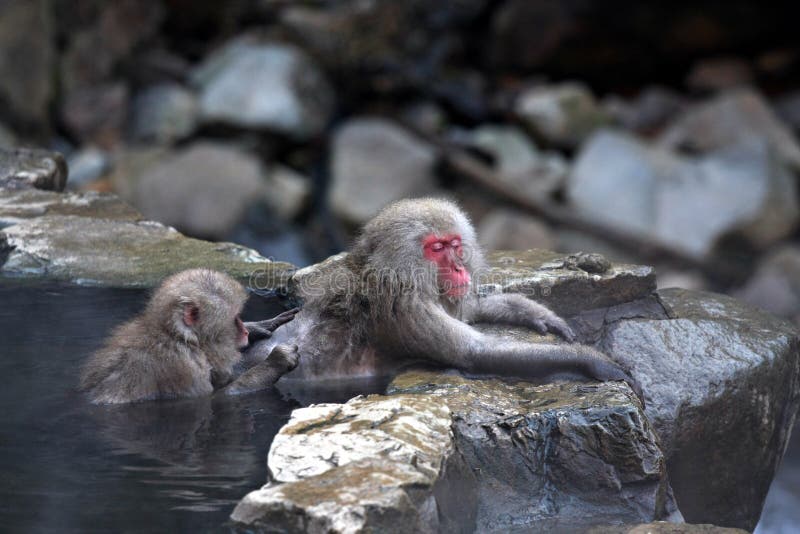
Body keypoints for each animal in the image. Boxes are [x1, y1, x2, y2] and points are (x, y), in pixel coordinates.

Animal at [80, 269, 300, 404]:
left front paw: (258, 326)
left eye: (239, 318)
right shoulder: (183, 367)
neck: (177, 338)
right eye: (234, 319)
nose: (244, 332)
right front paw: (275, 362)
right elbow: (214, 400)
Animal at [249, 198, 642, 401]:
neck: (391, 273)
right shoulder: (404, 305)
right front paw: (592, 360)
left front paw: (534, 312)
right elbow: (476, 353)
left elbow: (469, 310)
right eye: (436, 248)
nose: (458, 267)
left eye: (454, 243)